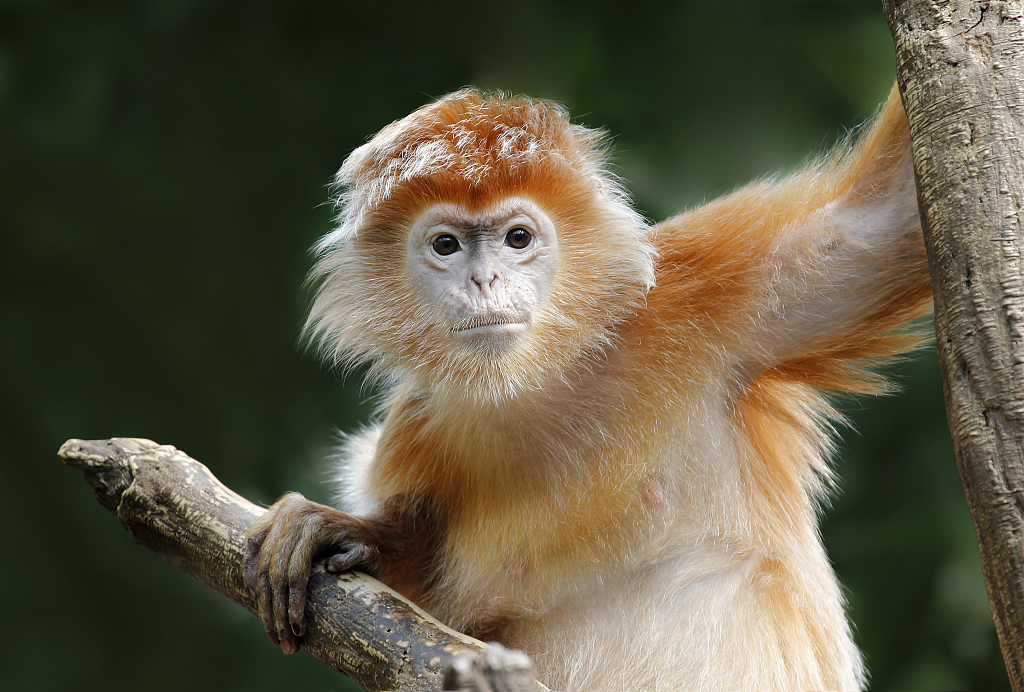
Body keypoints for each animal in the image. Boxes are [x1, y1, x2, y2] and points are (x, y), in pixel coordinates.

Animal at [243, 86, 933, 692]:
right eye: (446, 245)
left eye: (518, 238)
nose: (484, 281)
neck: (545, 384)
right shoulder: (422, 422)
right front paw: (344, 532)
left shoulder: (700, 295)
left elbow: (884, 224)